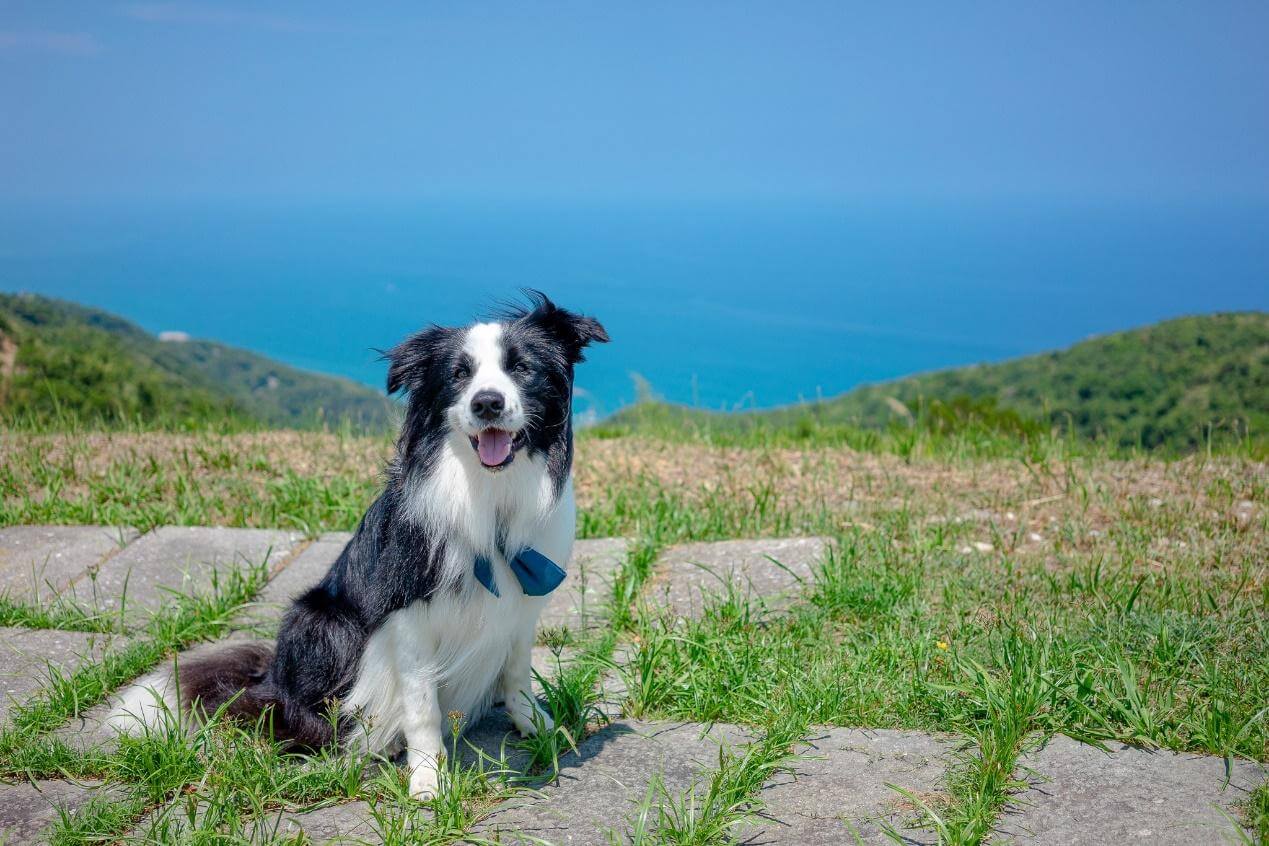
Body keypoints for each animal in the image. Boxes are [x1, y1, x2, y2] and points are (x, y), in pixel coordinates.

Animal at [109, 292, 609, 801]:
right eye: (459, 374)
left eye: (522, 368)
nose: (487, 402)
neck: (490, 498)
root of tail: (268, 681)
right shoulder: (407, 615)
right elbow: (422, 706)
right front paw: (428, 779)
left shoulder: (521, 607)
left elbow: (517, 672)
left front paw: (537, 726)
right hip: (322, 620)